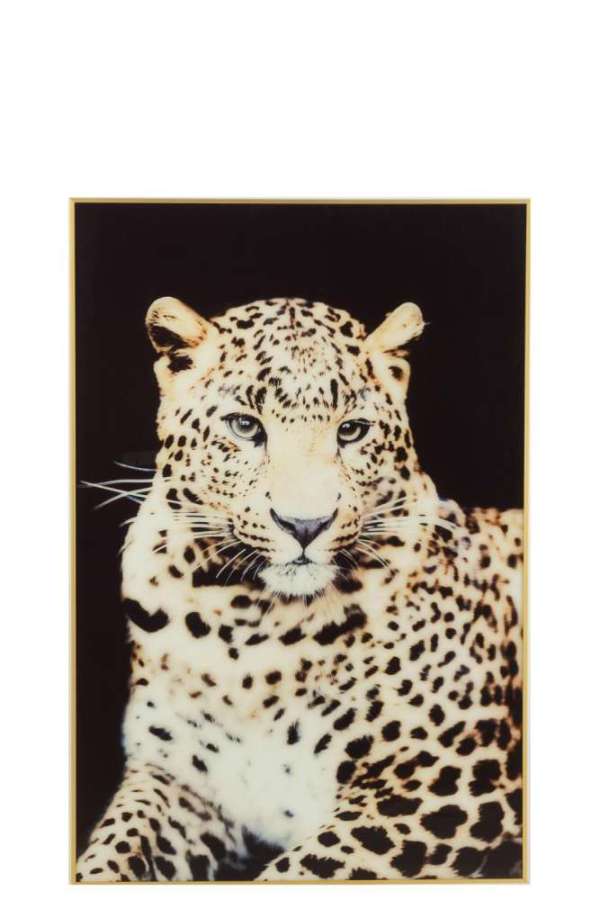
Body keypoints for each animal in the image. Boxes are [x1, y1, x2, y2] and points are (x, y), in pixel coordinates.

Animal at [76, 295, 523, 882]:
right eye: (246, 426)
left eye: (352, 431)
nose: (305, 524)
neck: (247, 629)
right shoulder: (177, 777)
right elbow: (113, 847)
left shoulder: (452, 780)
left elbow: (309, 866)